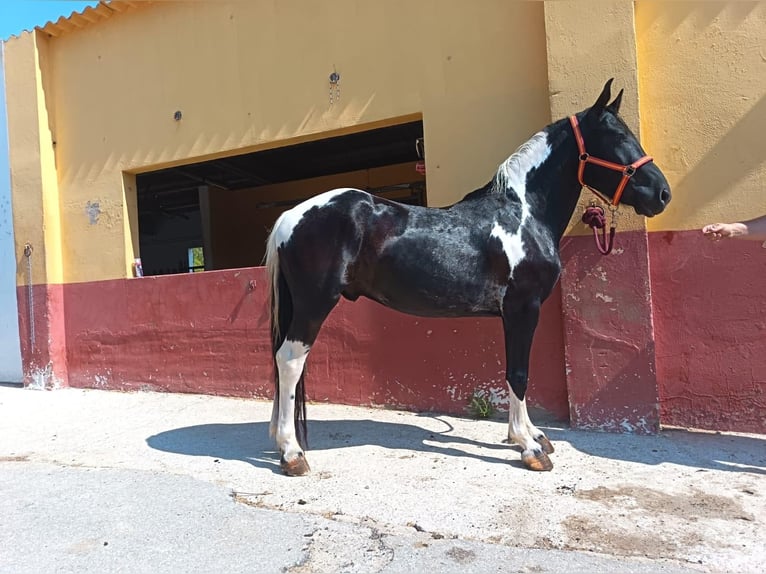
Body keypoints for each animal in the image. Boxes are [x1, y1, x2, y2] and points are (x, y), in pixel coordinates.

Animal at [265, 79, 671, 475]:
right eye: (615, 137)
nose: (663, 194)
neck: (522, 214)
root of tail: (290, 217)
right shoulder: (523, 308)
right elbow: (519, 373)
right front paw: (529, 447)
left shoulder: (515, 314)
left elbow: (516, 372)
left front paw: (533, 435)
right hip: (315, 303)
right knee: (290, 360)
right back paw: (292, 453)